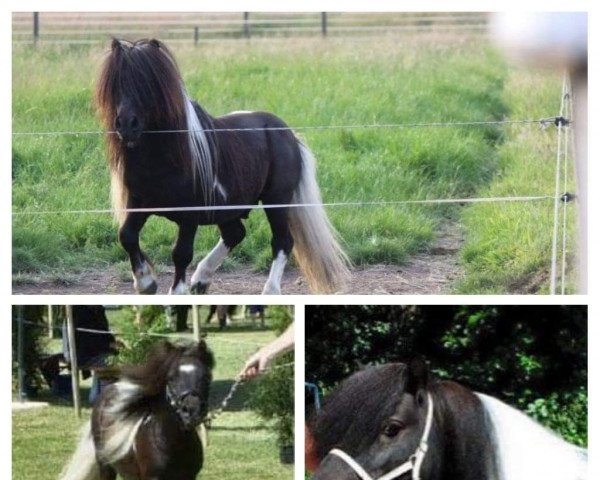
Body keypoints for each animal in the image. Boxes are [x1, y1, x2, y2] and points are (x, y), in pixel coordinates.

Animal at [95, 39, 352, 296]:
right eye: (116, 82)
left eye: (148, 83)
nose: (126, 125)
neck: (162, 159)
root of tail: (290, 135)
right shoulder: (139, 203)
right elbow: (127, 236)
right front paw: (146, 282)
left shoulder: (189, 216)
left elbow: (181, 253)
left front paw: (176, 292)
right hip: (231, 207)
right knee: (235, 233)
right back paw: (201, 279)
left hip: (276, 200)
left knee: (282, 242)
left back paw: (269, 291)